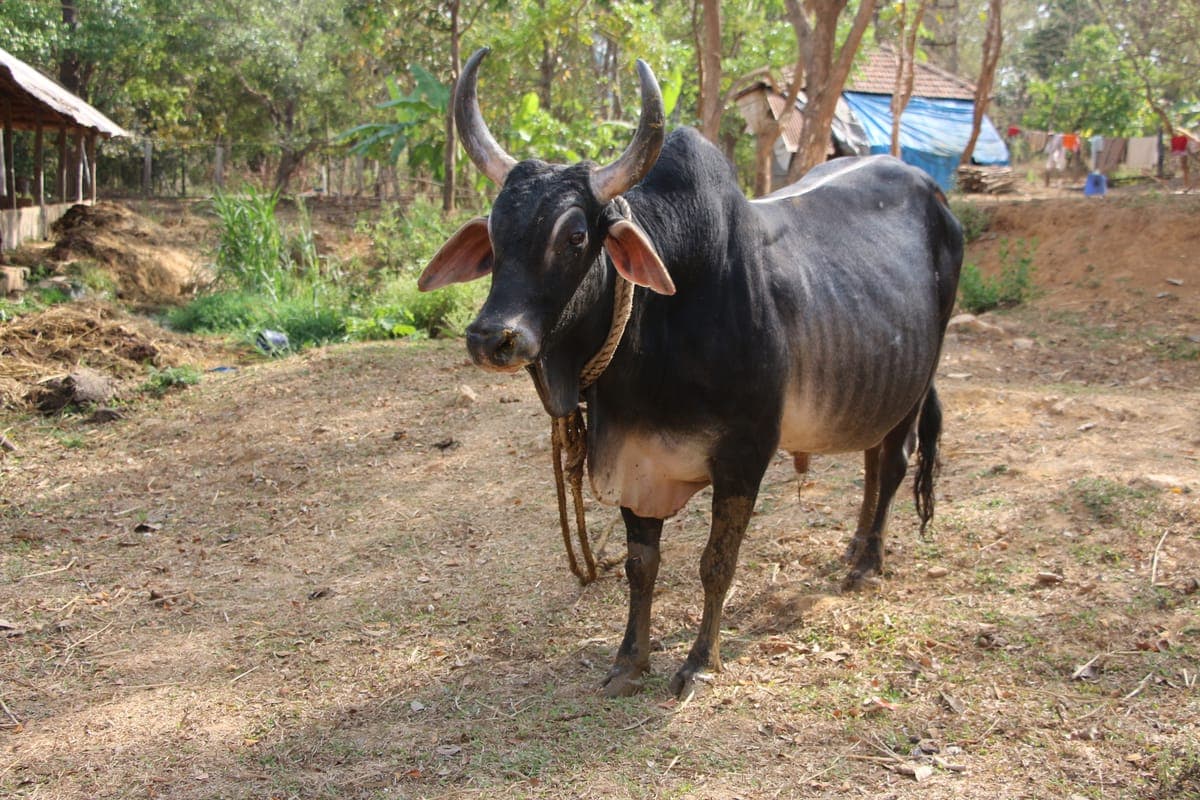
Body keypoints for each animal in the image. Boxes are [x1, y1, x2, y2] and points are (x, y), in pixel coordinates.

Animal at [419, 49, 963, 699]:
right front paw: (630, 660)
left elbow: (715, 565)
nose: (491, 337)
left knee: (894, 463)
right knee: (872, 465)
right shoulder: (632, 461)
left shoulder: (744, 458)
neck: (658, 334)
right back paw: (856, 546)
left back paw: (867, 563)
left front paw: (701, 660)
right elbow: (641, 566)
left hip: (915, 382)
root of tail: (936, 196)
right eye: (495, 234)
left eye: (575, 235)